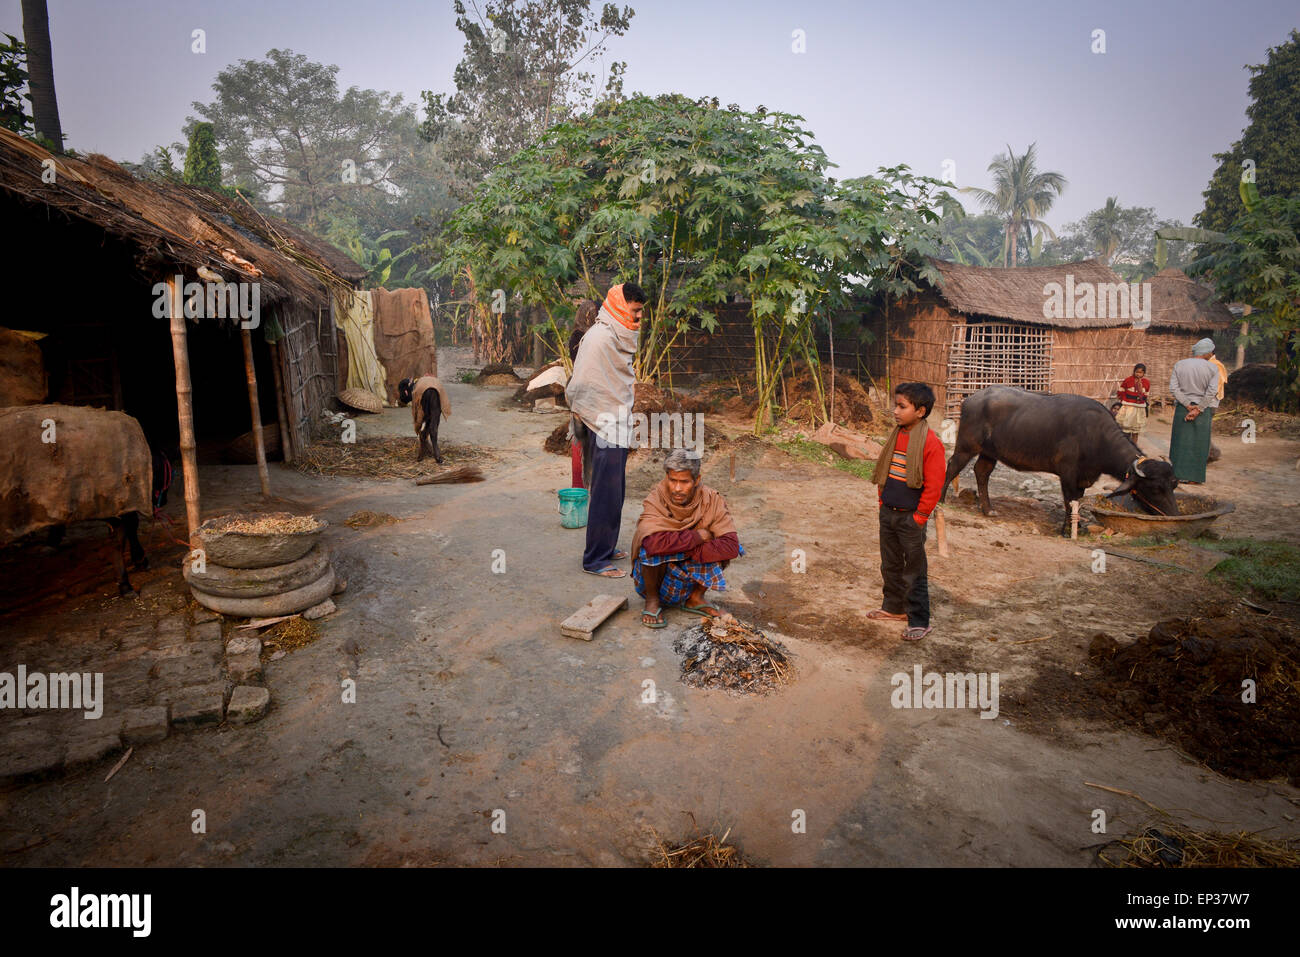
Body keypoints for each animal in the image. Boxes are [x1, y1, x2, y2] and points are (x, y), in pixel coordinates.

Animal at [941, 390, 1185, 538]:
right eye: (1155, 488)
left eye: (1173, 484)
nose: (1173, 514)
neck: (1096, 437)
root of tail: (970, 399)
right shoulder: (1067, 475)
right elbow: (1069, 502)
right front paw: (1067, 530)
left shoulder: (1084, 478)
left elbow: (1077, 500)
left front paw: (1077, 527)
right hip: (966, 446)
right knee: (952, 465)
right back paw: (942, 500)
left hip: (989, 453)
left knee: (981, 472)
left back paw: (988, 509)